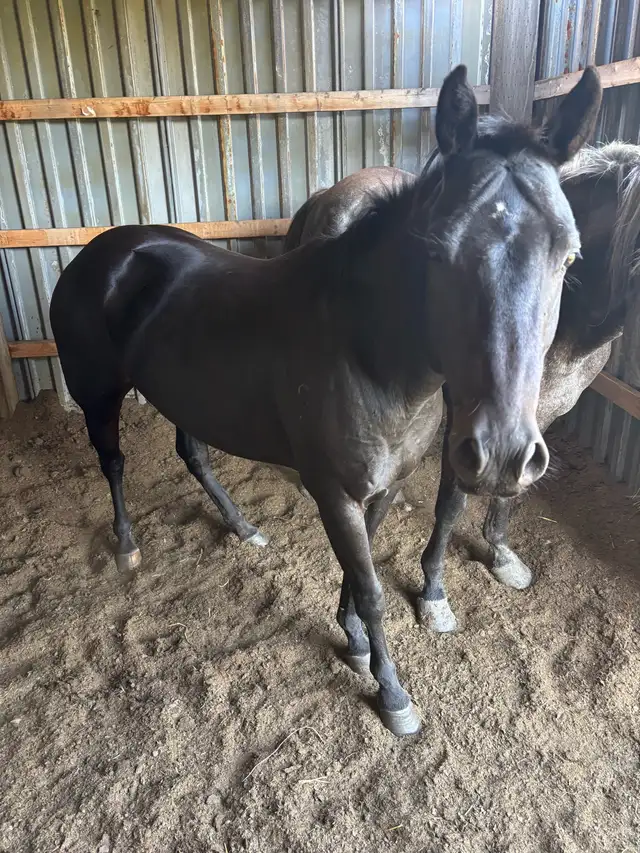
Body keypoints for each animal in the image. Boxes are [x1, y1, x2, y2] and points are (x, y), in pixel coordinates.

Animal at [50, 65, 601, 735]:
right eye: (438, 250)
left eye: (568, 253)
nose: (502, 456)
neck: (366, 352)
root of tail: (100, 253)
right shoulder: (333, 492)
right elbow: (371, 588)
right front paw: (392, 693)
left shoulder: (385, 486)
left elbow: (357, 573)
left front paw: (355, 641)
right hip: (98, 393)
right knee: (113, 463)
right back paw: (128, 546)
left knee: (193, 455)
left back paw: (243, 527)